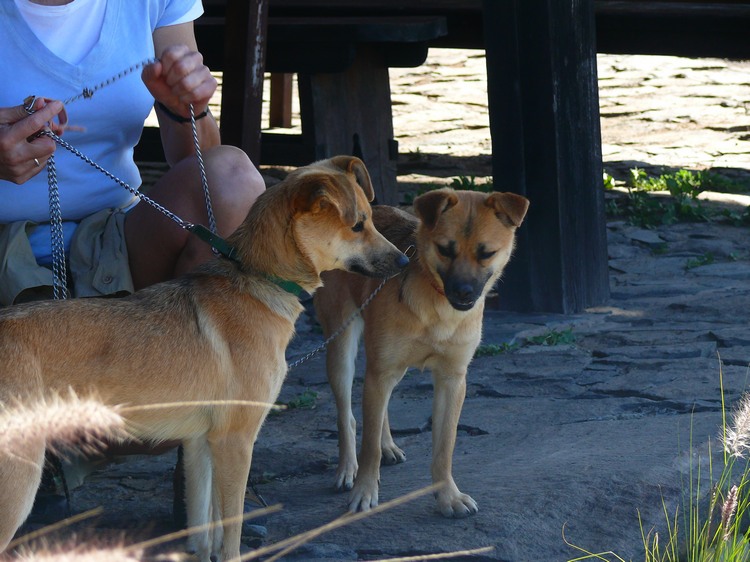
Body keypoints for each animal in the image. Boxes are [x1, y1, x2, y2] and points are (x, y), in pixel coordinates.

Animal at [0, 156, 412, 560]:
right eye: (358, 225)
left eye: (371, 219)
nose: (405, 262)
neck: (259, 280)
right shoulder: (236, 442)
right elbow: (230, 533)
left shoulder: (200, 444)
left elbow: (203, 526)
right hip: (20, 483)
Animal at [314, 187, 532, 516]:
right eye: (445, 249)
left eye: (486, 253)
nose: (463, 292)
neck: (437, 302)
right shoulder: (381, 371)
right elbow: (368, 447)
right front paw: (365, 491)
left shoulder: (451, 380)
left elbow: (444, 446)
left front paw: (448, 496)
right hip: (341, 349)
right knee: (348, 416)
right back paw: (347, 467)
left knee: (379, 410)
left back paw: (388, 445)